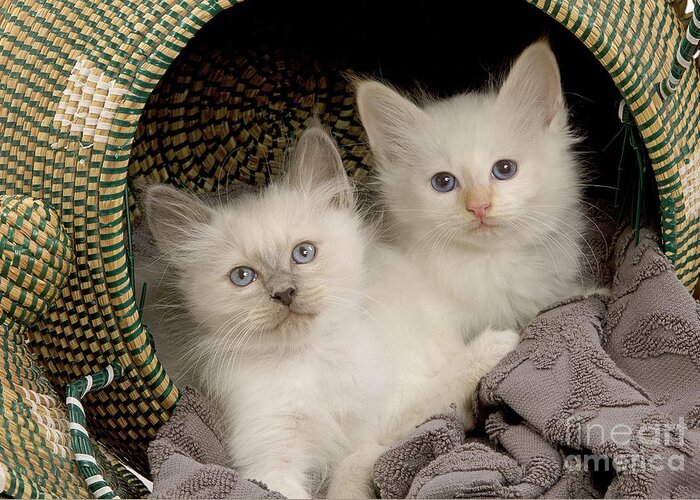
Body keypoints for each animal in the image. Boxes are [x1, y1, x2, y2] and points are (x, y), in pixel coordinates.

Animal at [141, 127, 394, 498]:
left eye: (303, 253)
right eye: (243, 277)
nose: (284, 293)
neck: (308, 360)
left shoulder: (359, 437)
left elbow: (348, 480)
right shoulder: (272, 459)